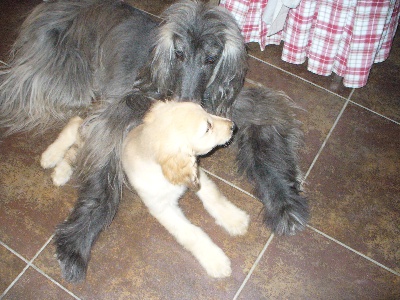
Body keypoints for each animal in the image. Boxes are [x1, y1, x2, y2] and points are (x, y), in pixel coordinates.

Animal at [0, 0, 308, 282]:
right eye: (179, 54)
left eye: (211, 59)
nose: (187, 105)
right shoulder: (117, 117)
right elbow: (103, 183)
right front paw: (78, 239)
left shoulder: (245, 107)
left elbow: (268, 143)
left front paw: (285, 203)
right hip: (67, 80)